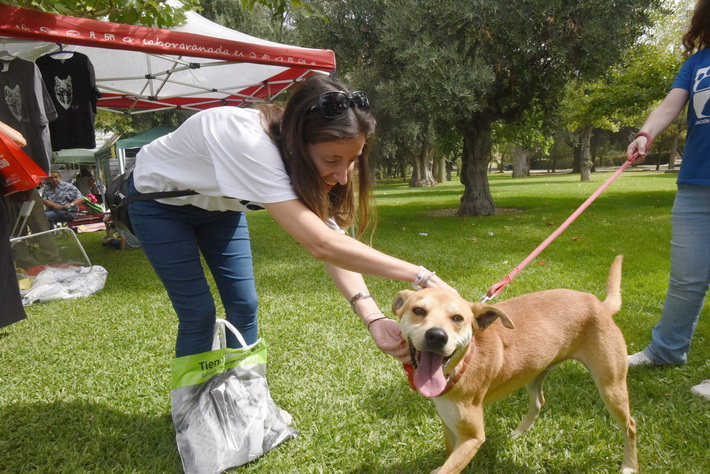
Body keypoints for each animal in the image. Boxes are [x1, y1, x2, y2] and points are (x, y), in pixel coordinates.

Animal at [394, 258, 640, 472]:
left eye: (457, 318)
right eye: (418, 311)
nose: (437, 336)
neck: (462, 365)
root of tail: (600, 305)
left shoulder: (472, 437)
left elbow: (449, 467)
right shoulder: (449, 422)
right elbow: (448, 453)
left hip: (611, 387)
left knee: (630, 425)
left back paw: (629, 466)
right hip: (534, 374)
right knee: (539, 401)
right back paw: (519, 432)